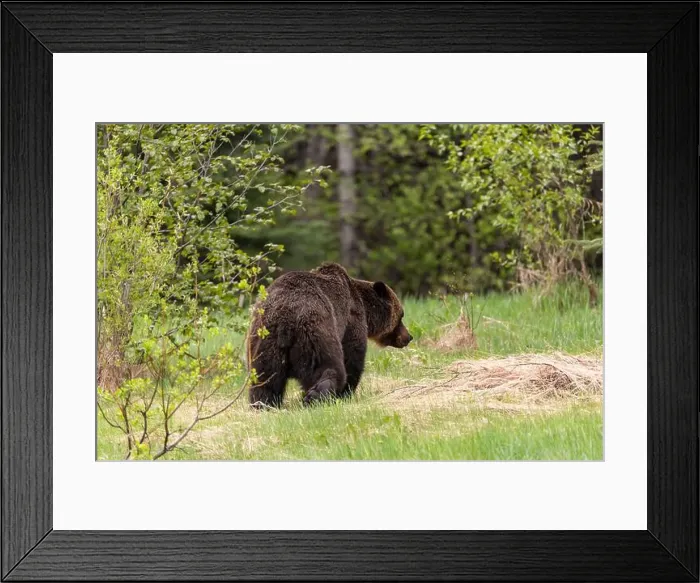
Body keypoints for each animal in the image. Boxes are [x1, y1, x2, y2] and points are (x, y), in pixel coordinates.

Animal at [246, 262, 412, 408]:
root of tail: (285, 316)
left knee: (265, 378)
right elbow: (352, 357)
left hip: (264, 340)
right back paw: (315, 397)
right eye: (401, 316)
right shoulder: (351, 320)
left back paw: (264, 404)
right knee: (327, 366)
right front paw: (346, 393)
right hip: (315, 330)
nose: (408, 337)